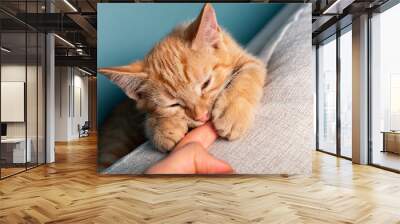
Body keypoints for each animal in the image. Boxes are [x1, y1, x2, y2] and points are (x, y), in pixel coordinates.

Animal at [99, 3, 268, 151]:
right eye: (173, 104)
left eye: (206, 83)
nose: (201, 117)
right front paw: (163, 128)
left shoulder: (249, 60)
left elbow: (247, 76)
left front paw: (232, 113)